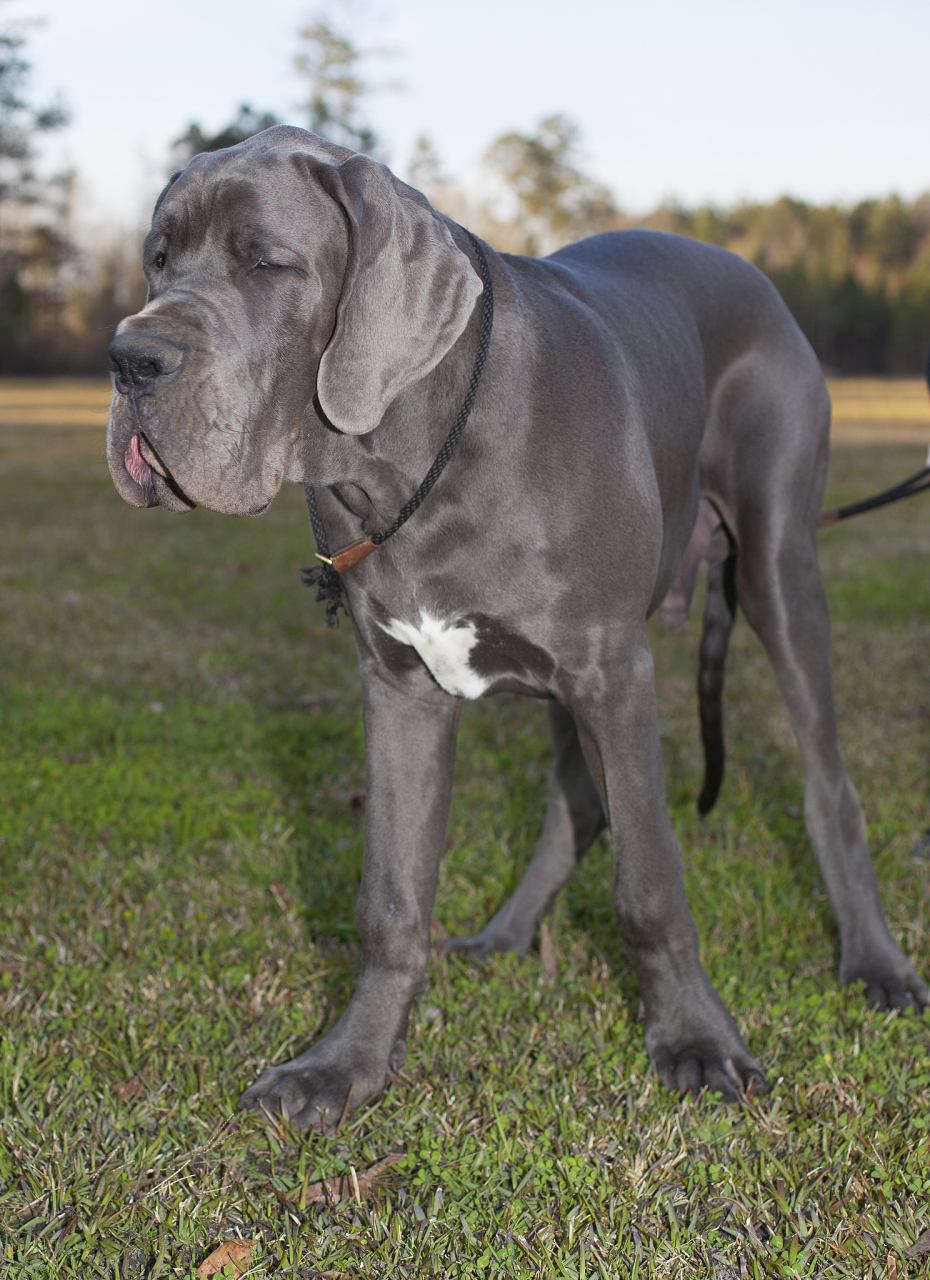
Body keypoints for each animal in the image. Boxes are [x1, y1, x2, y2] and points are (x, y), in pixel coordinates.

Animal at [107, 127, 926, 1131]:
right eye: (158, 260)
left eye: (267, 263)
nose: (129, 359)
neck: (412, 458)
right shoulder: (399, 688)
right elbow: (390, 898)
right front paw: (346, 1065)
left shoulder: (614, 671)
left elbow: (651, 883)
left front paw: (696, 1040)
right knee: (575, 800)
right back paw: (505, 934)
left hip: (777, 561)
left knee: (827, 785)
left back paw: (876, 964)